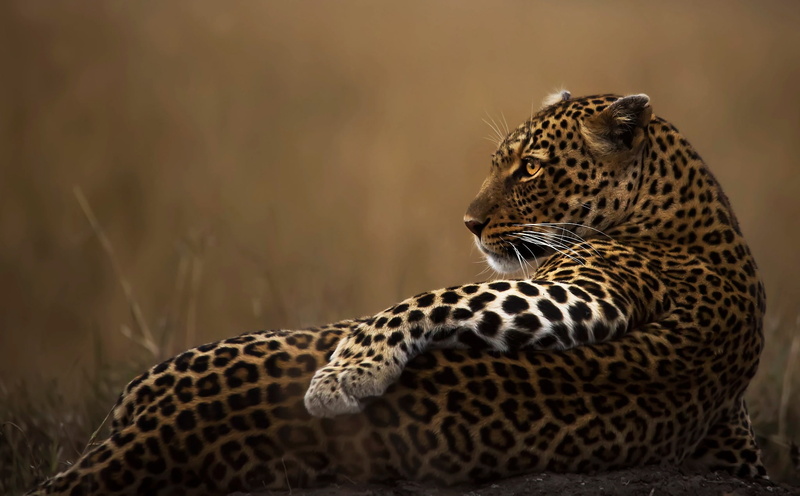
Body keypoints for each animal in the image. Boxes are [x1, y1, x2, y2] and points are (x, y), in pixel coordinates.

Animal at [28, 91, 766, 496]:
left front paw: (345, 374)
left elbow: (434, 298)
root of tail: (161, 427)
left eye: (530, 169)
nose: (468, 222)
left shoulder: (593, 290)